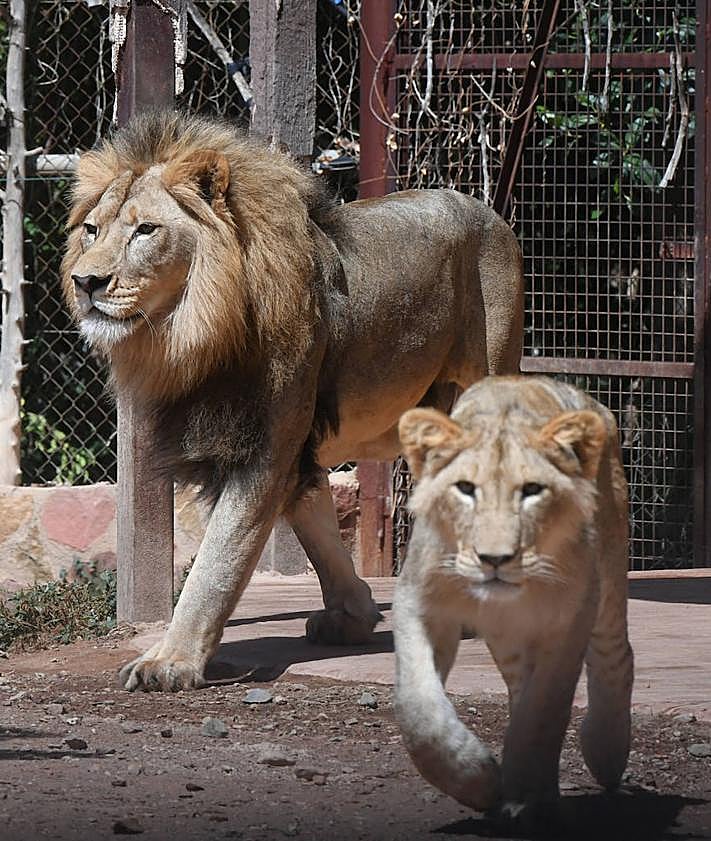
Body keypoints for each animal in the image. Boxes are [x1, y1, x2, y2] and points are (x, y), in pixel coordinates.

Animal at [62, 111, 524, 692]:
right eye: (92, 229)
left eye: (146, 230)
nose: (86, 281)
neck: (191, 333)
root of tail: (490, 211)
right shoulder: (285, 440)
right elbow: (313, 518)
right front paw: (353, 613)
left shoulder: (265, 445)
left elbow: (217, 562)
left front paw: (170, 661)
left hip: (483, 385)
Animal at [394, 375, 633, 822]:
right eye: (465, 489)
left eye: (532, 491)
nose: (495, 559)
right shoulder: (419, 603)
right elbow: (420, 711)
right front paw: (477, 779)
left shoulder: (568, 621)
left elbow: (541, 714)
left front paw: (523, 789)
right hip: (509, 639)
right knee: (520, 685)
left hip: (607, 582)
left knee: (616, 657)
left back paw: (607, 751)